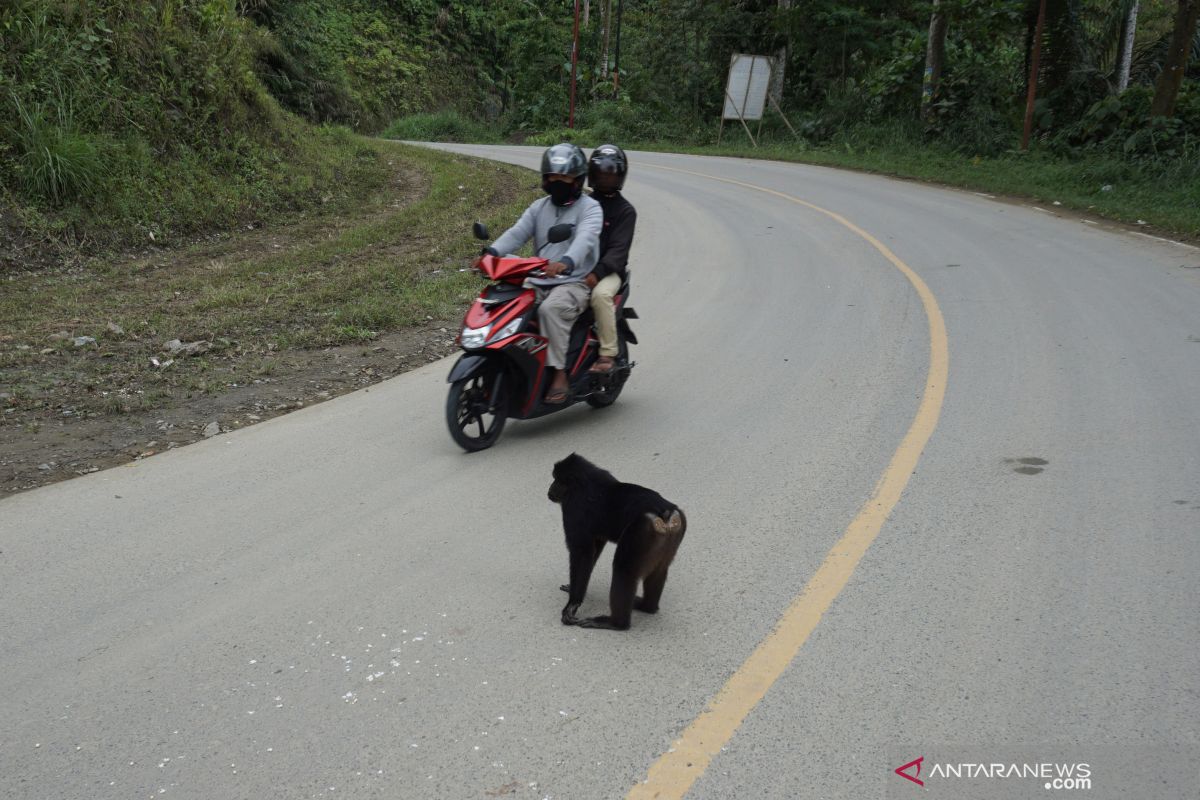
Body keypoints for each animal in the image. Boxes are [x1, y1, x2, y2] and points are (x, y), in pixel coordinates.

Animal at [547, 453, 686, 628]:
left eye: (557, 480)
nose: (550, 489)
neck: (583, 481)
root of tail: (665, 513)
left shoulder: (573, 506)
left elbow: (582, 552)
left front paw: (573, 603)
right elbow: (595, 546)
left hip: (641, 530)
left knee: (623, 568)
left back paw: (616, 623)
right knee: (660, 568)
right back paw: (646, 607)